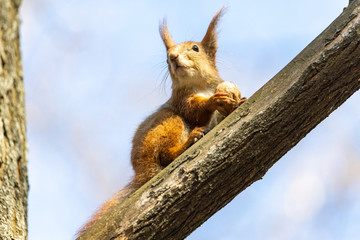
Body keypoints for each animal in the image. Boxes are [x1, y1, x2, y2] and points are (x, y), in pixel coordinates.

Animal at [78, 7, 248, 236]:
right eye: (167, 55)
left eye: (195, 48)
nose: (172, 56)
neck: (200, 85)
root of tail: (144, 171)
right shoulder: (181, 102)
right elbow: (195, 112)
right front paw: (214, 100)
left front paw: (239, 100)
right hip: (170, 123)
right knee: (166, 154)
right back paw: (188, 141)